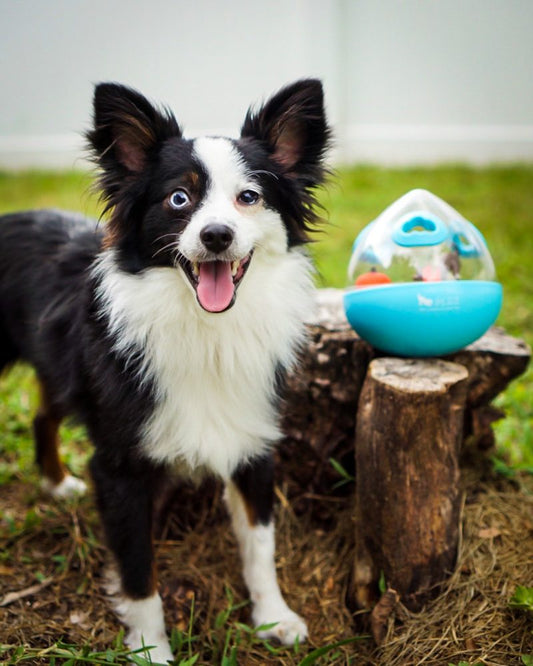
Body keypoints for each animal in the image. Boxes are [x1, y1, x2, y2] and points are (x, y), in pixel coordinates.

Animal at [0, 78, 330, 660]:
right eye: (179, 198)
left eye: (250, 198)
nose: (217, 235)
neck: (207, 329)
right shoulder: (120, 468)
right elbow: (138, 571)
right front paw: (149, 650)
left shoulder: (253, 443)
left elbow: (260, 545)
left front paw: (274, 618)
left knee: (43, 414)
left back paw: (57, 484)